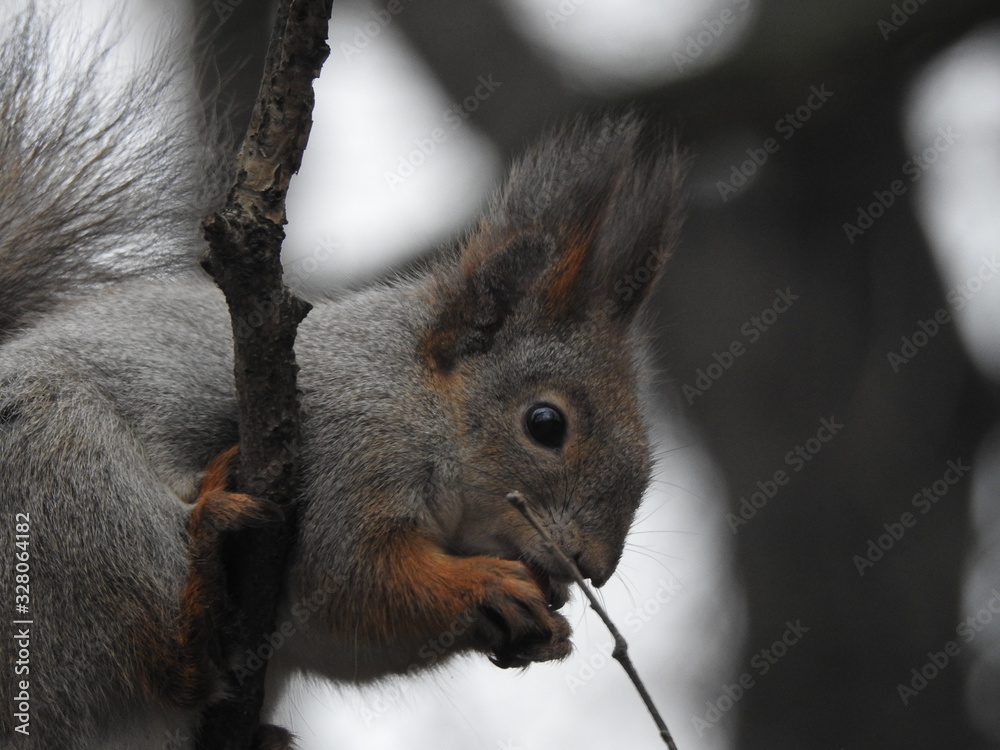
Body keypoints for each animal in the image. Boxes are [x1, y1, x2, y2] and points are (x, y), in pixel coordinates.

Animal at [0, 4, 684, 749]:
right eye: (545, 423)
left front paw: (545, 630)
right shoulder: (343, 449)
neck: (417, 397)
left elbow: (347, 643)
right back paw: (207, 561)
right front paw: (488, 587)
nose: (595, 568)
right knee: (164, 657)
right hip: (64, 479)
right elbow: (355, 583)